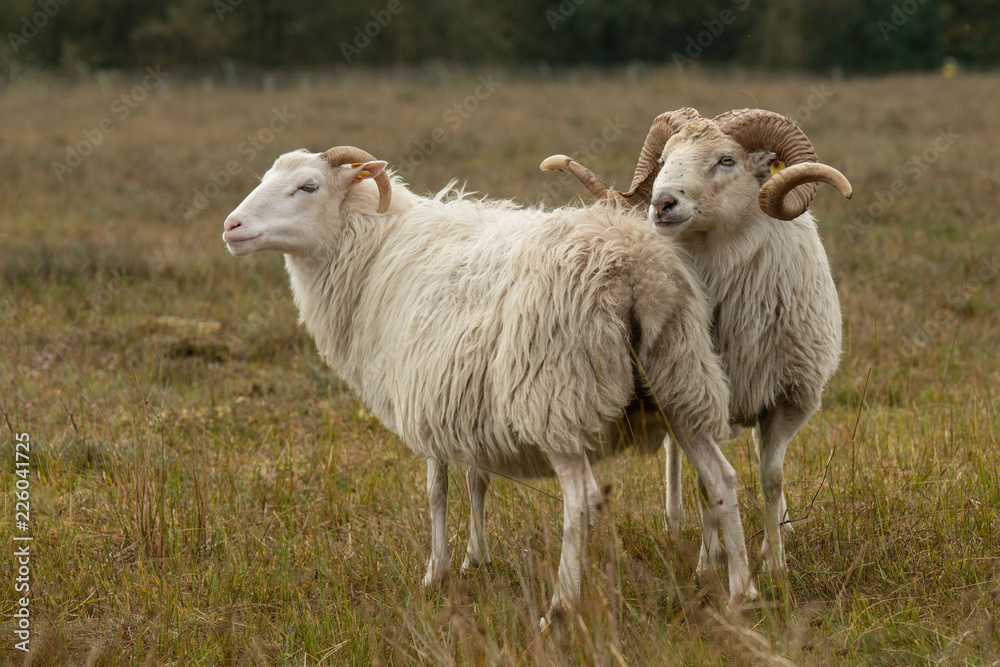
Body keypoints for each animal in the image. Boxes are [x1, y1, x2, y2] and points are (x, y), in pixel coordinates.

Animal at [225, 146, 756, 628]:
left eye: (308, 186)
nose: (231, 226)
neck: (373, 251)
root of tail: (637, 268)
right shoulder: (462, 399)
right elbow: (475, 480)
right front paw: (474, 559)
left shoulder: (424, 397)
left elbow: (436, 491)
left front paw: (434, 574)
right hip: (680, 379)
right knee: (721, 478)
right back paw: (740, 593)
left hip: (556, 397)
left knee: (582, 499)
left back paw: (560, 607)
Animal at [540, 108, 852, 576]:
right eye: (664, 158)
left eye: (726, 160)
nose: (661, 204)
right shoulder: (695, 401)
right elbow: (706, 484)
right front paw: (709, 563)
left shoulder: (789, 399)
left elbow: (772, 476)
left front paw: (775, 561)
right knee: (675, 458)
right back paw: (675, 522)